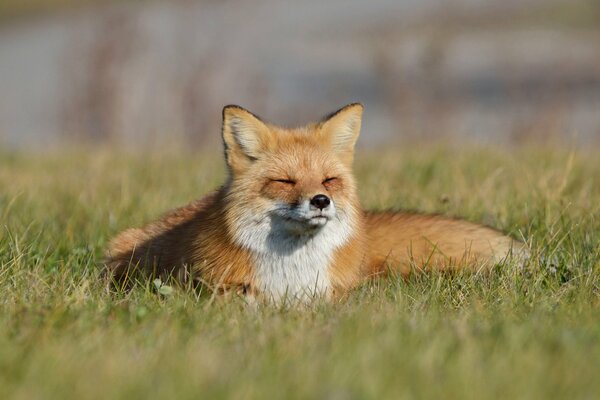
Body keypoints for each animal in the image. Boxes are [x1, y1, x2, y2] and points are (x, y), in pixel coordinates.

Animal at [106, 103, 524, 304]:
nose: (321, 201)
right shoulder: (214, 287)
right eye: (284, 181)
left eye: (328, 181)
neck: (293, 277)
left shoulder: (336, 292)